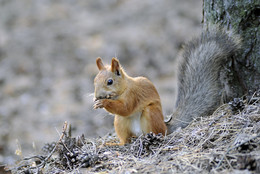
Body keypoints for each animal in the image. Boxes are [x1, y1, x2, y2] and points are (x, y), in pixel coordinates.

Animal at [93, 27, 240, 144]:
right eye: (94, 81)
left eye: (110, 82)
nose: (97, 96)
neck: (123, 89)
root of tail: (166, 127)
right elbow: (122, 110)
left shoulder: (134, 95)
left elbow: (126, 108)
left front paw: (104, 102)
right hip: (120, 122)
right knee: (126, 138)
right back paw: (118, 144)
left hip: (151, 114)